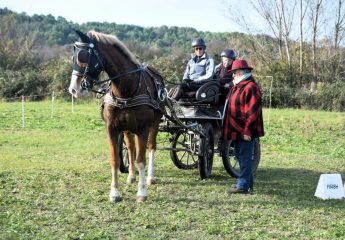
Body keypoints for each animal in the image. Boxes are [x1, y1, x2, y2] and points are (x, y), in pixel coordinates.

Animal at [68, 29, 165, 202]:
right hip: (127, 129)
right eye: (73, 57)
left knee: (151, 147)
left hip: (154, 124)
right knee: (131, 149)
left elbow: (141, 160)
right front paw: (114, 192)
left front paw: (142, 193)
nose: (73, 89)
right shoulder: (112, 128)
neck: (126, 90)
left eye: (83, 57)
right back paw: (131, 176)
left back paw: (150, 177)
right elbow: (115, 159)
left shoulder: (143, 129)